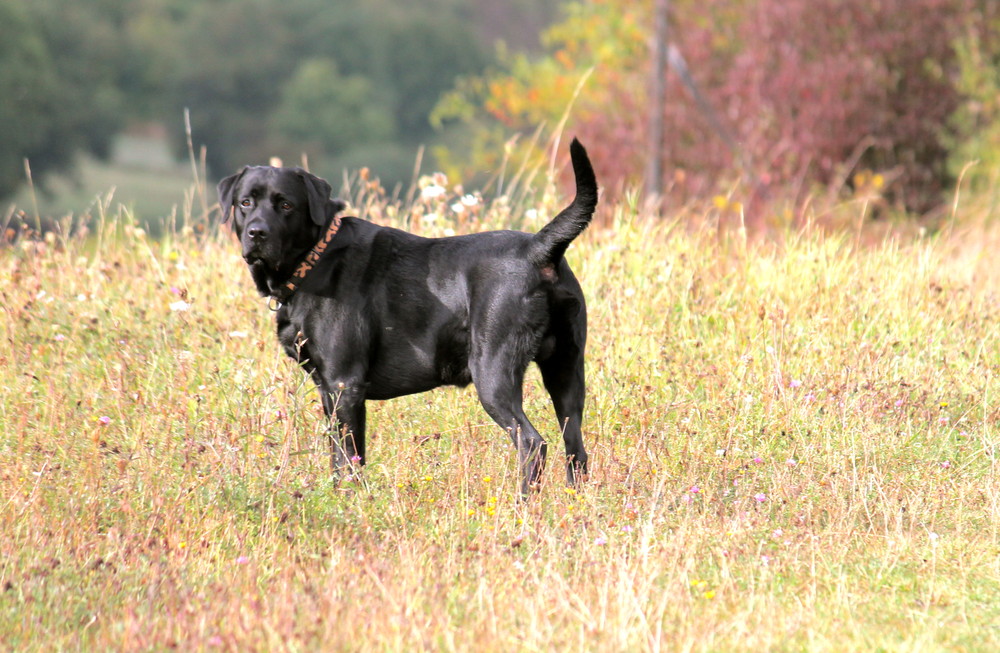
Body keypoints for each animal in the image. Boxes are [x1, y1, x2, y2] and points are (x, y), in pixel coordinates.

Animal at [219, 140, 592, 492]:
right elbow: (338, 458)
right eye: (245, 203)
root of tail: (538, 249)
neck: (315, 258)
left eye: (286, 205)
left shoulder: (344, 384)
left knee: (532, 443)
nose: (257, 233)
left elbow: (350, 459)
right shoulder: (328, 391)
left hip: (493, 372)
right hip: (565, 372)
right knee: (575, 447)